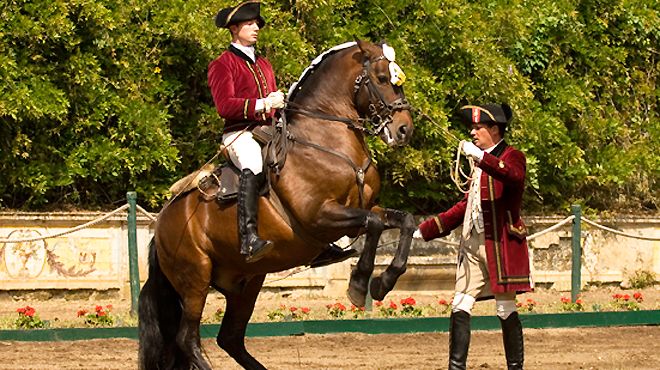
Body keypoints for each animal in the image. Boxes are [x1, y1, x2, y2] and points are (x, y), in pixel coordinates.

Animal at [138, 39, 418, 368]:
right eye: (382, 78)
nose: (404, 129)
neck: (327, 139)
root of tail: (162, 223)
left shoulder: (363, 210)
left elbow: (405, 221)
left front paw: (384, 281)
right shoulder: (320, 216)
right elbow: (374, 225)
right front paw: (360, 284)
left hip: (245, 284)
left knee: (229, 338)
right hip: (195, 279)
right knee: (187, 338)